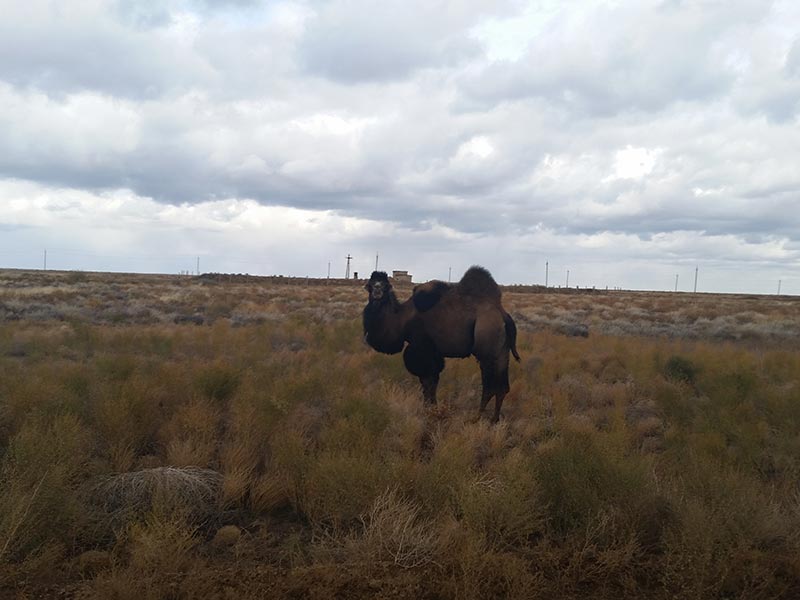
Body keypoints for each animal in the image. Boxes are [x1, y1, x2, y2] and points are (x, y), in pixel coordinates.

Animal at [363, 266, 520, 422]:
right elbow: (431, 382)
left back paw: (477, 417)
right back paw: (494, 420)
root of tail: (504, 316)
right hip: (502, 351)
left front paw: (430, 410)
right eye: (370, 285)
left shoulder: (421, 347)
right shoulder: (434, 352)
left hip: (487, 350)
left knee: (490, 386)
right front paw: (432, 409)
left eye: (385, 285)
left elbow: (428, 382)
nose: (377, 291)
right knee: (502, 387)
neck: (401, 320)